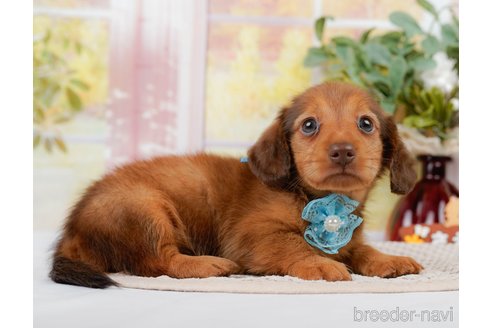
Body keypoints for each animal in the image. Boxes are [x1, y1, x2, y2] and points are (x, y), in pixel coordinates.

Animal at [52, 82, 422, 290]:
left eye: (366, 124)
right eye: (309, 125)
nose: (342, 151)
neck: (317, 200)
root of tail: (71, 232)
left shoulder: (349, 239)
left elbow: (362, 249)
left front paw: (387, 259)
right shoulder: (252, 237)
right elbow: (293, 244)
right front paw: (319, 263)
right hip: (145, 210)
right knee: (159, 262)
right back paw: (210, 265)